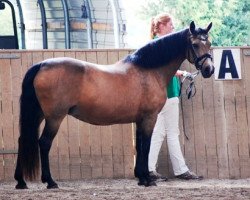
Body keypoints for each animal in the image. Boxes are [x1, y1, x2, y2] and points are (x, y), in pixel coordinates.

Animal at [14, 21, 213, 188]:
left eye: (210, 43)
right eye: (195, 44)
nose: (209, 69)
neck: (148, 70)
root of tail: (41, 65)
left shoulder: (139, 119)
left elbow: (139, 146)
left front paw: (141, 178)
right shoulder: (149, 118)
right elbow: (146, 146)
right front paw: (148, 180)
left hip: (39, 114)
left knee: (23, 140)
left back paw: (20, 181)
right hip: (55, 117)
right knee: (44, 143)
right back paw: (50, 181)